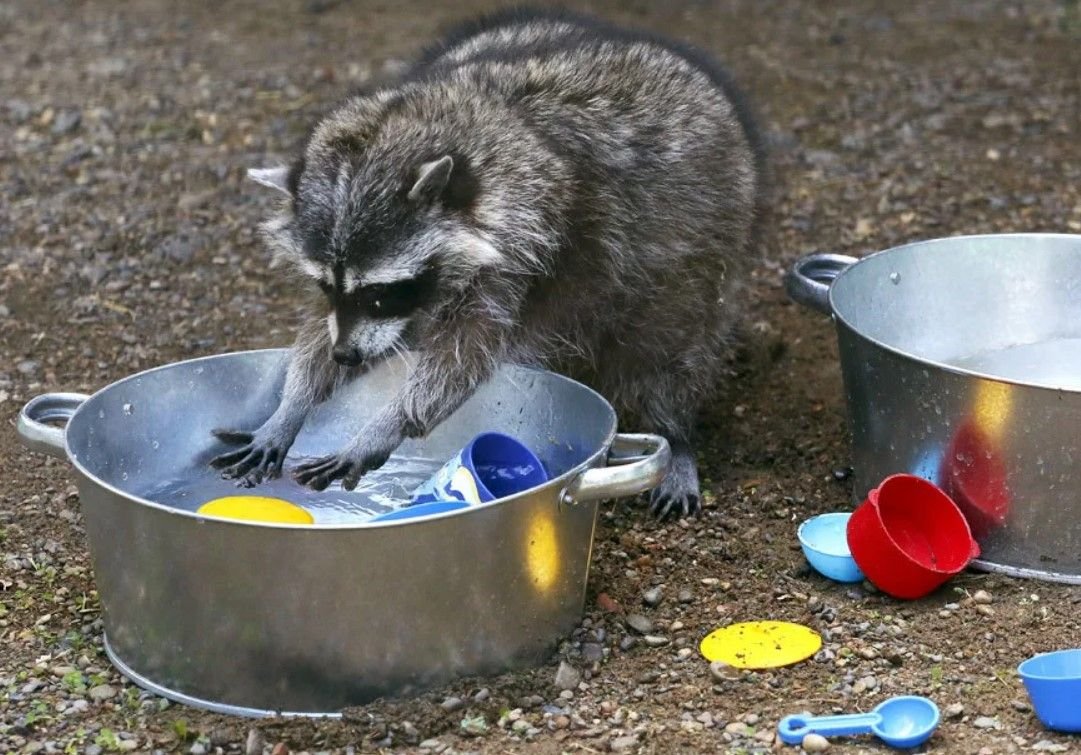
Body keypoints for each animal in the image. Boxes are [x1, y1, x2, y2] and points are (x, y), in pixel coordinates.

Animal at [210, 5, 765, 517]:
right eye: (327, 286)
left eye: (378, 293)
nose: (346, 356)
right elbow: (354, 333)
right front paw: (292, 405)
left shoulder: (535, 246)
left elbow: (464, 354)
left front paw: (388, 423)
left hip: (700, 243)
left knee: (672, 344)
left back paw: (675, 431)